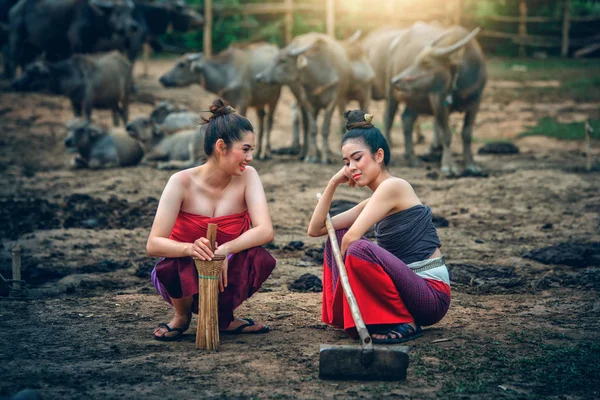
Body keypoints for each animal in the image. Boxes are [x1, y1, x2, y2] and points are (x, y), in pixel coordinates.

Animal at [5, 0, 137, 77]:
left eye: (130, 13)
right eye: (118, 12)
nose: (133, 26)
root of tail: (14, 9)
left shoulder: (88, 46)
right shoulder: (75, 40)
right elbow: (75, 58)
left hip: (33, 45)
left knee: (26, 60)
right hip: (16, 37)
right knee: (14, 58)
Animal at [254, 32, 350, 163]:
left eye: (283, 61)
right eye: (274, 59)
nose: (259, 77)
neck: (319, 78)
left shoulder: (333, 101)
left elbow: (325, 129)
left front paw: (326, 157)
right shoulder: (306, 101)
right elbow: (312, 128)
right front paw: (313, 156)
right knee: (306, 125)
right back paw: (306, 153)